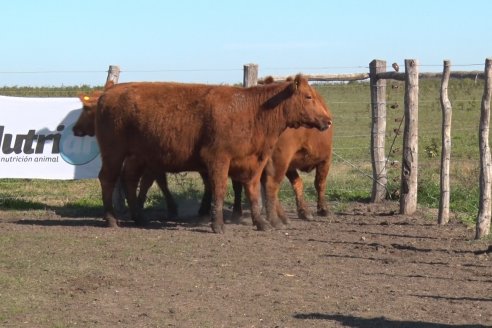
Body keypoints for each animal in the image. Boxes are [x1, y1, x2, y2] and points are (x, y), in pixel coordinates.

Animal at [94, 75, 332, 233]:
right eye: (308, 96)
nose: (328, 120)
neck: (252, 111)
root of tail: (109, 92)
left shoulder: (255, 162)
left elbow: (254, 191)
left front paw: (260, 222)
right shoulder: (218, 158)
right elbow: (219, 189)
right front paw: (217, 224)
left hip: (137, 156)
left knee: (129, 180)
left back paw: (139, 217)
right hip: (113, 151)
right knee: (108, 179)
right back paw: (111, 219)